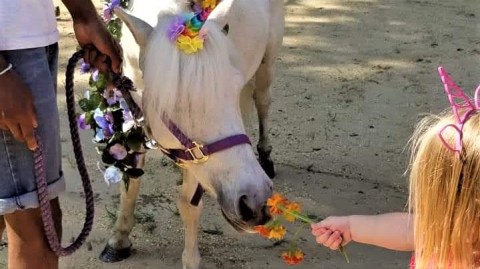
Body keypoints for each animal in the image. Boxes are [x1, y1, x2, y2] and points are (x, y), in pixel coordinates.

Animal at [99, 1, 284, 266]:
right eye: (174, 102)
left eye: (234, 86)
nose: (256, 201)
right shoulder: (133, 119)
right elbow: (129, 186)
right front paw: (119, 239)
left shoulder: (197, 157)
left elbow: (188, 205)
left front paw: (191, 259)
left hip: (267, 63)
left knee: (262, 102)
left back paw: (266, 156)